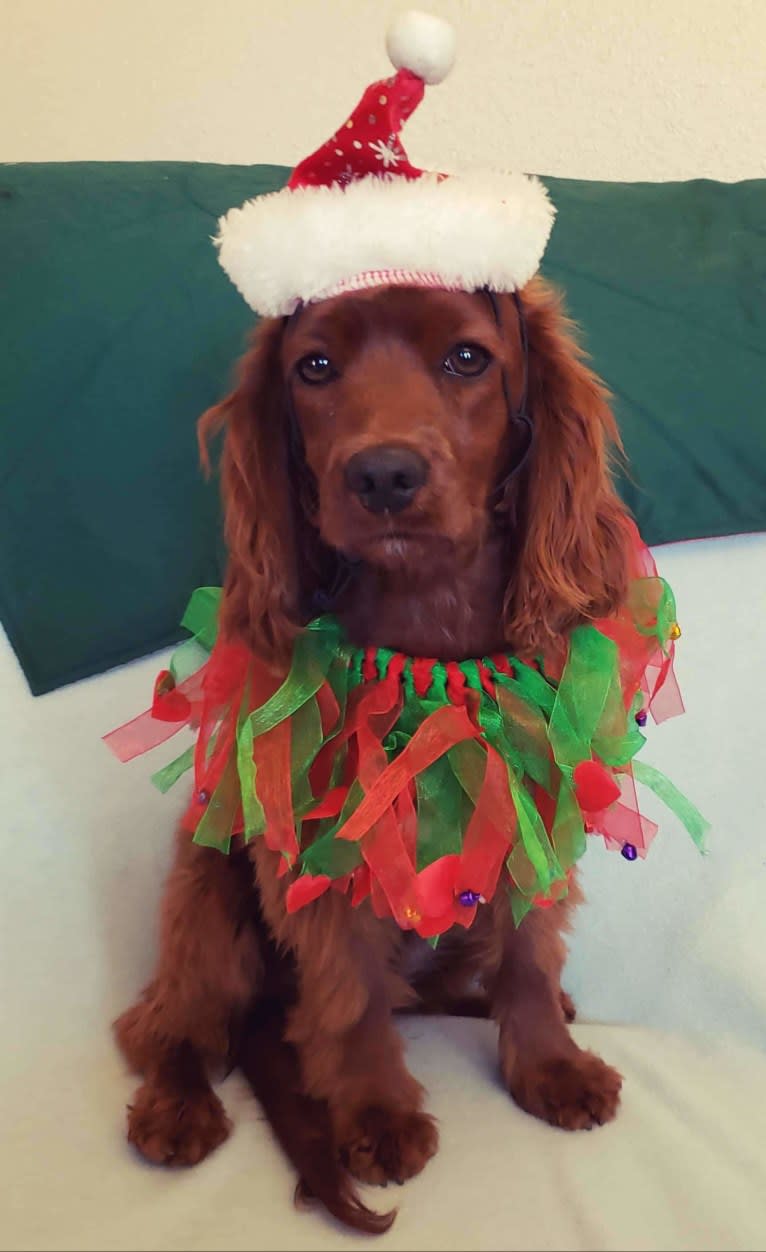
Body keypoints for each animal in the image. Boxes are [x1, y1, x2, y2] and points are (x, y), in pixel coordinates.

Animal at [113, 276, 628, 1231]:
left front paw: (550, 1065)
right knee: (164, 1026)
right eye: (315, 367)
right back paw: (177, 1108)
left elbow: (530, 958)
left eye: (467, 357)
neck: (427, 613)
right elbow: (349, 997)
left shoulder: (528, 809)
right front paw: (377, 1114)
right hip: (206, 893)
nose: (383, 476)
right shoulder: (324, 849)